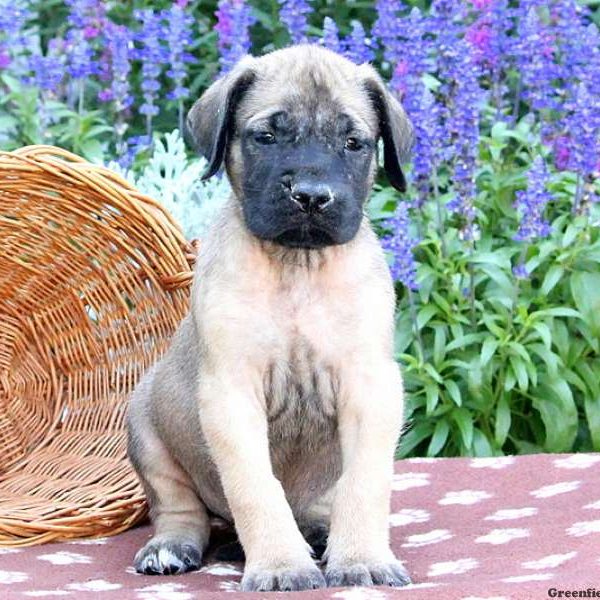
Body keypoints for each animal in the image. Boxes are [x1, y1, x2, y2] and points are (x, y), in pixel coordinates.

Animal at [127, 45, 412, 592]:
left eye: (353, 143)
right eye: (266, 137)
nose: (311, 196)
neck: (297, 265)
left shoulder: (370, 387)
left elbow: (366, 483)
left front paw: (361, 557)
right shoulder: (231, 394)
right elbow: (256, 488)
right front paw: (281, 565)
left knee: (325, 502)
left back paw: (321, 533)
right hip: (146, 425)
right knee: (178, 508)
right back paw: (171, 547)